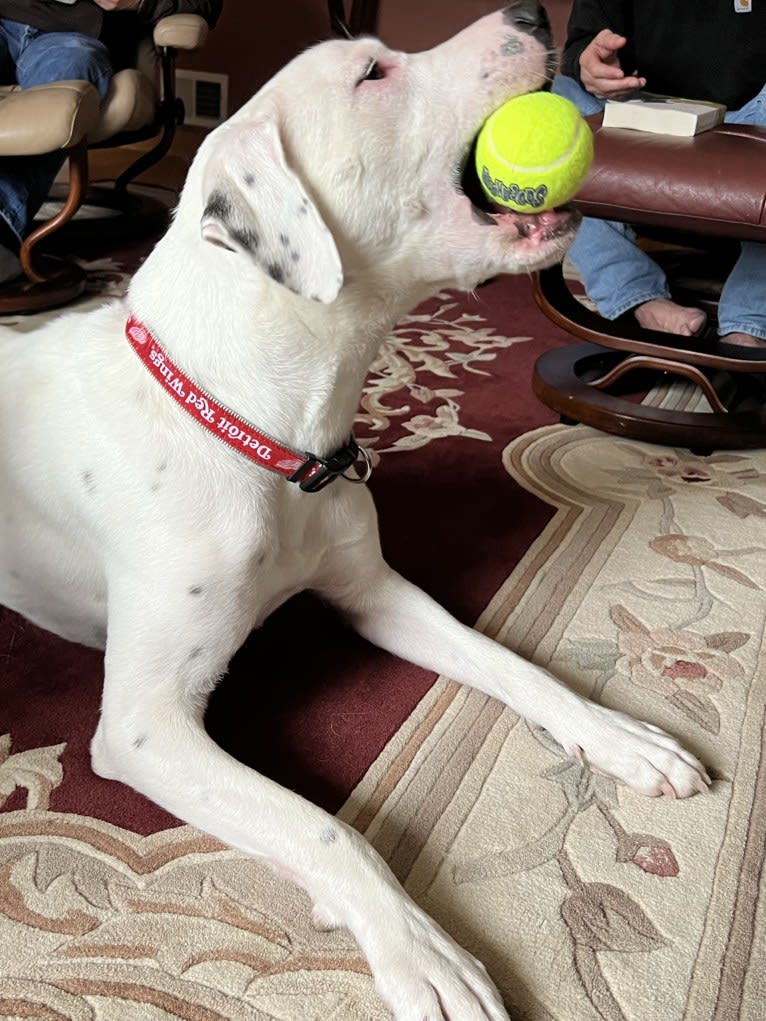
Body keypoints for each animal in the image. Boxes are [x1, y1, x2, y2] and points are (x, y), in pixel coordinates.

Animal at [0, 3, 710, 1016]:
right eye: (373, 72)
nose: (533, 13)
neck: (264, 423)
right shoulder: (145, 725)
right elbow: (321, 826)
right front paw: (422, 945)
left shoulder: (377, 593)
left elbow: (511, 663)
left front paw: (616, 733)